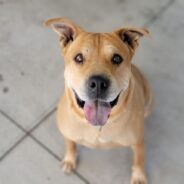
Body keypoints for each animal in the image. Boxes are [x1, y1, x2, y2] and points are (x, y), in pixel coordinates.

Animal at [44, 17, 152, 184]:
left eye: (116, 58)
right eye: (78, 58)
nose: (98, 83)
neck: (98, 127)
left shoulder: (138, 141)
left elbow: (139, 159)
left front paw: (139, 176)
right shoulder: (68, 134)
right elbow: (70, 145)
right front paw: (69, 160)